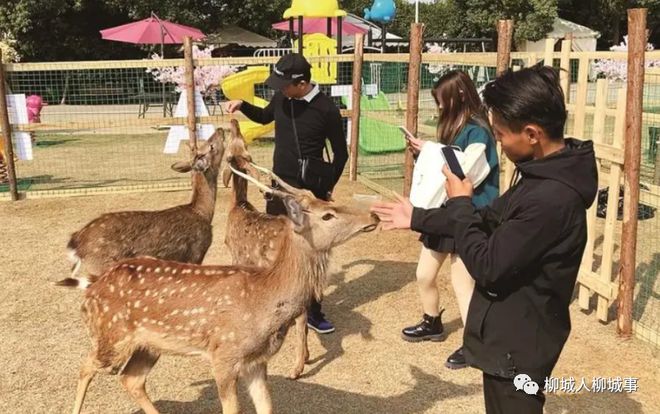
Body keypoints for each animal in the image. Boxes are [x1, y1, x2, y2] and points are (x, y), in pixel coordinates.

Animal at [56, 129, 226, 288]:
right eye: (211, 146)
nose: (220, 130)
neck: (202, 212)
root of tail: (75, 243)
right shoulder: (196, 252)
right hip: (101, 266)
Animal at [67, 170, 380, 414]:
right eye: (328, 215)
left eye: (329, 201)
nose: (374, 214)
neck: (263, 300)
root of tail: (92, 287)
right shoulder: (224, 355)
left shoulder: (256, 362)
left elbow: (266, 407)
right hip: (110, 335)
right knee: (85, 367)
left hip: (149, 345)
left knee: (131, 378)